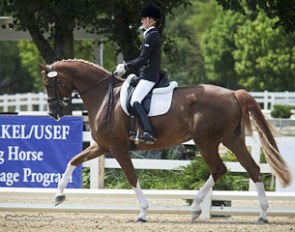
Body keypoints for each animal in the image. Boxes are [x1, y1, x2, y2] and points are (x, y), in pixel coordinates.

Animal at [40, 59, 292, 223]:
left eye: (49, 84)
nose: (53, 114)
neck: (103, 96)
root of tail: (233, 94)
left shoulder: (118, 148)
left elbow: (132, 177)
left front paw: (143, 212)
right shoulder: (102, 146)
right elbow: (73, 160)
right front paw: (58, 195)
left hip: (206, 142)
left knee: (219, 168)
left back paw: (197, 208)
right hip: (233, 140)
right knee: (252, 168)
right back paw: (262, 214)